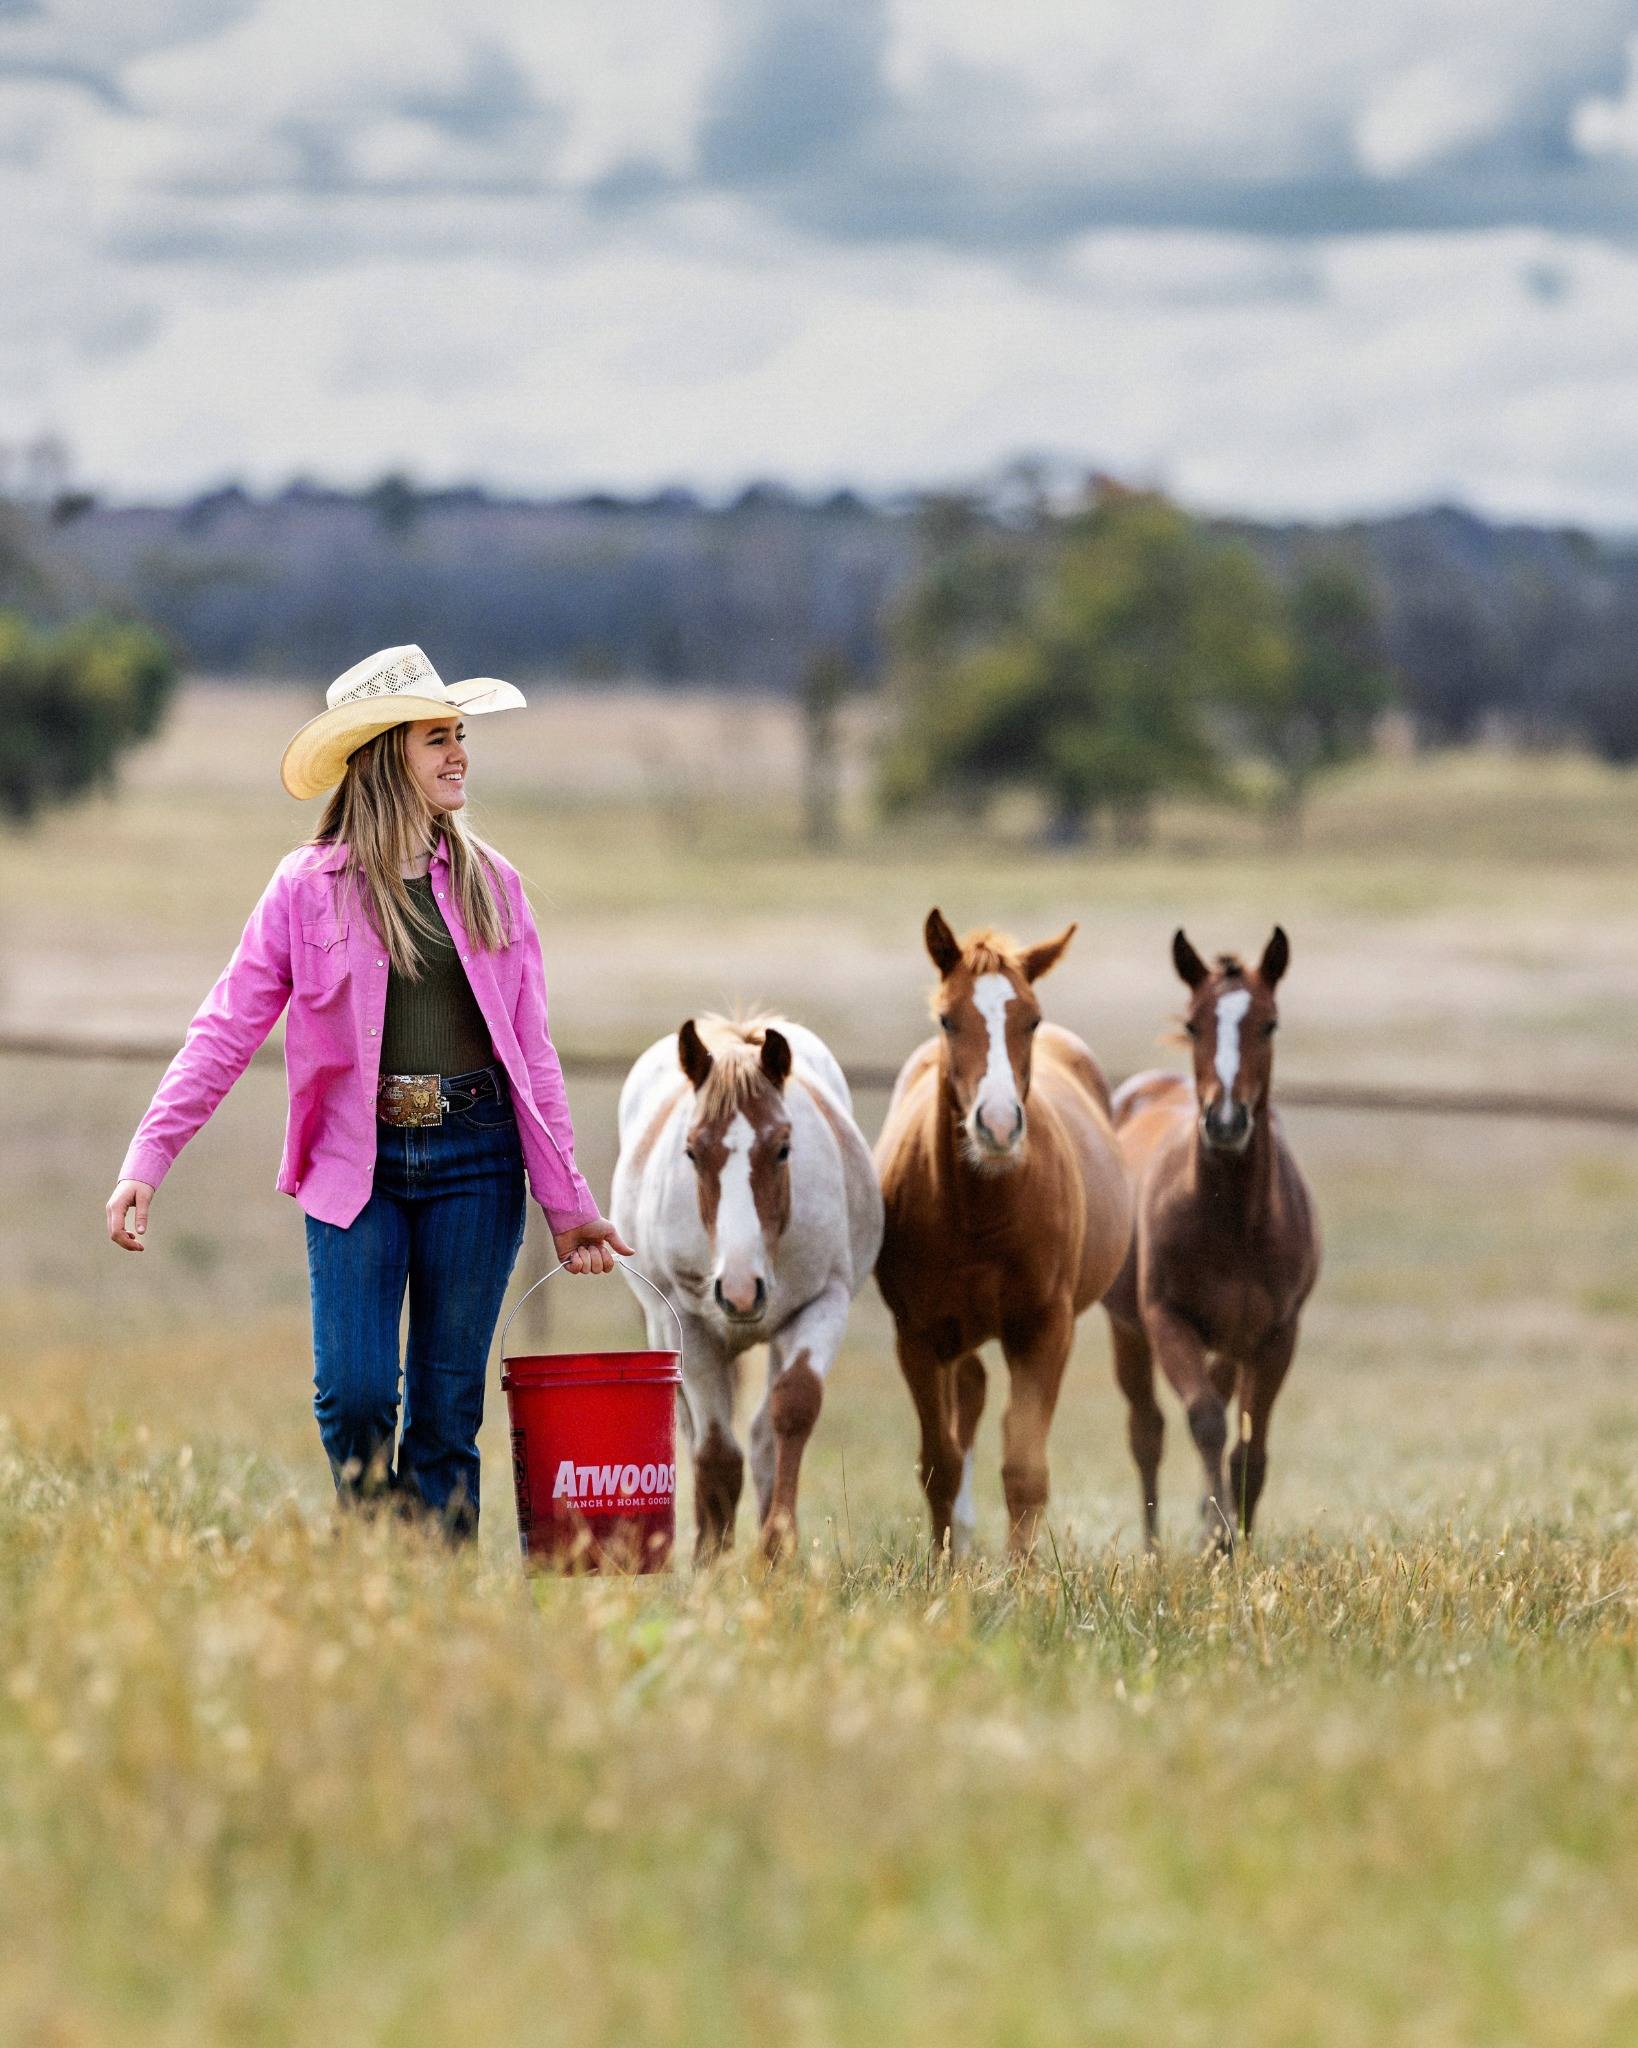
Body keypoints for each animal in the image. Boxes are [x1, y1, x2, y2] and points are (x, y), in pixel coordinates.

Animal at [611, 1015, 883, 1562]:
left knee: (760, 1438)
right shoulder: (689, 1324)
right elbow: (716, 1452)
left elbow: (790, 1414)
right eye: (692, 1151)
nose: (739, 1291)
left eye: (782, 1148)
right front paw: (711, 1560)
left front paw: (778, 1547)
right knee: (692, 1432)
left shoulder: (823, 1304)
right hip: (661, 1326)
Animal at [874, 911, 1133, 1557]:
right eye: (947, 1018)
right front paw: (944, 1569)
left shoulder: (1044, 1330)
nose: (995, 1125)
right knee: (968, 1398)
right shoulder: (917, 1336)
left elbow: (1024, 1468)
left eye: (1031, 1019)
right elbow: (939, 1464)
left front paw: (1022, 1575)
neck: (981, 1214)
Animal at [1103, 928, 1321, 1551]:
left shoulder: (1277, 1334)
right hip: (1128, 1329)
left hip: (1230, 1341)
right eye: (1194, 1023)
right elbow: (1204, 1420)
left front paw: (1231, 1540)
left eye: (1269, 1023)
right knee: (1146, 1430)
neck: (1235, 1224)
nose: (1225, 1122)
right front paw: (1221, 1538)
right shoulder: (1164, 1319)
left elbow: (1250, 1451)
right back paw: (1154, 1549)